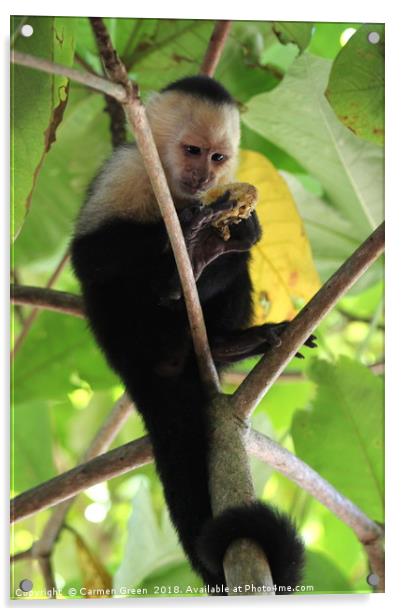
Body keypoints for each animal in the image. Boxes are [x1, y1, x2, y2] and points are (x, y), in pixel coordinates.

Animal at [70, 74, 312, 596]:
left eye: (218, 157)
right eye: (193, 150)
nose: (202, 179)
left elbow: (243, 246)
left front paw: (227, 237)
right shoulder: (127, 170)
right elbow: (90, 256)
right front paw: (187, 228)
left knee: (236, 271)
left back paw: (225, 333)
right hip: (122, 332)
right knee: (115, 285)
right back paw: (178, 270)